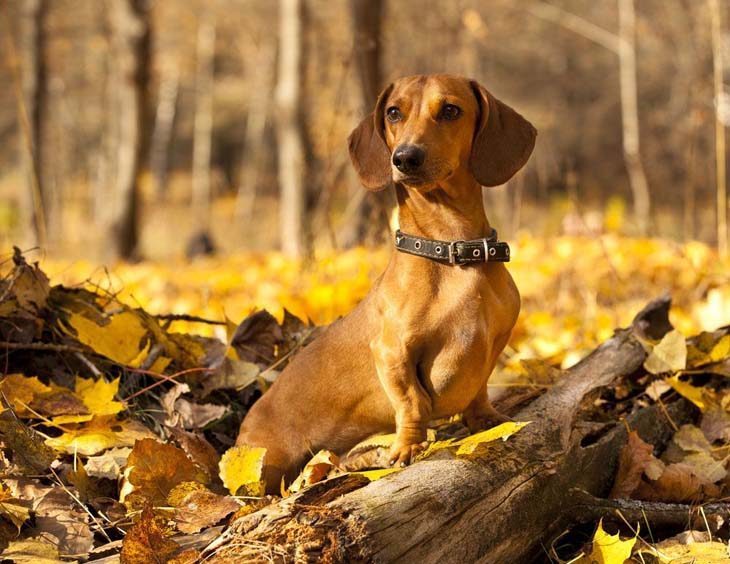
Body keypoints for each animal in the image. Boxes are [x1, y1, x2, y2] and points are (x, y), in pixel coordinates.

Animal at [237, 74, 536, 490]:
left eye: (451, 110)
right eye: (394, 112)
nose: (406, 158)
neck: (452, 253)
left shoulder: (495, 341)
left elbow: (479, 390)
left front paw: (487, 420)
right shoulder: (392, 351)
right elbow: (411, 402)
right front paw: (408, 447)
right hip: (268, 464)